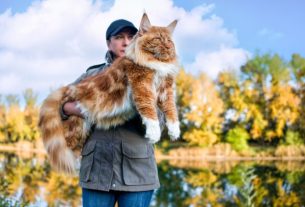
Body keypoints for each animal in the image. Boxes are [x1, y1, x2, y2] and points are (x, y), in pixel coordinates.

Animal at [38, 12, 180, 174]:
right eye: (158, 39)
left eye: (169, 41)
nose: (168, 46)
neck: (158, 64)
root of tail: (69, 87)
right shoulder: (141, 85)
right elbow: (149, 112)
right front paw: (154, 133)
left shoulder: (166, 89)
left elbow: (171, 110)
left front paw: (175, 131)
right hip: (75, 129)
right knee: (65, 153)